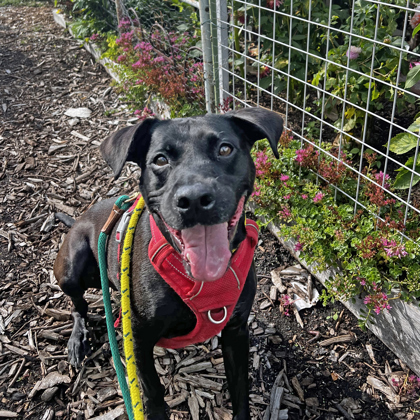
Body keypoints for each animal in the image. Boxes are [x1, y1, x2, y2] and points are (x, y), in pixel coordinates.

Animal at [52, 108, 282, 420]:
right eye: (160, 159)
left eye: (225, 149)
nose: (194, 199)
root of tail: (77, 219)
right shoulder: (138, 338)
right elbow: (153, 391)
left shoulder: (236, 331)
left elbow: (240, 390)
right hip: (72, 267)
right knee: (79, 305)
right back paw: (77, 339)